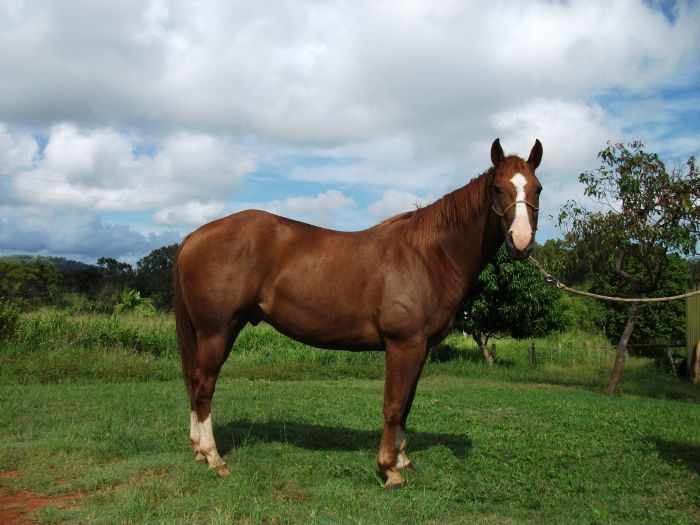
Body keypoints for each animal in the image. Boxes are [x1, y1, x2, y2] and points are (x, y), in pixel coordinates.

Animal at [174, 138, 543, 488]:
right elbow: (393, 404)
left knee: (195, 384)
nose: (521, 242)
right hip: (217, 331)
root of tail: (194, 236)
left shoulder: (420, 348)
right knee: (203, 385)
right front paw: (389, 469)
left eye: (537, 188)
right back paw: (214, 458)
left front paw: (403, 460)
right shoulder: (403, 344)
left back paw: (199, 452)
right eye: (497, 188)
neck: (428, 256)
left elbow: (407, 404)